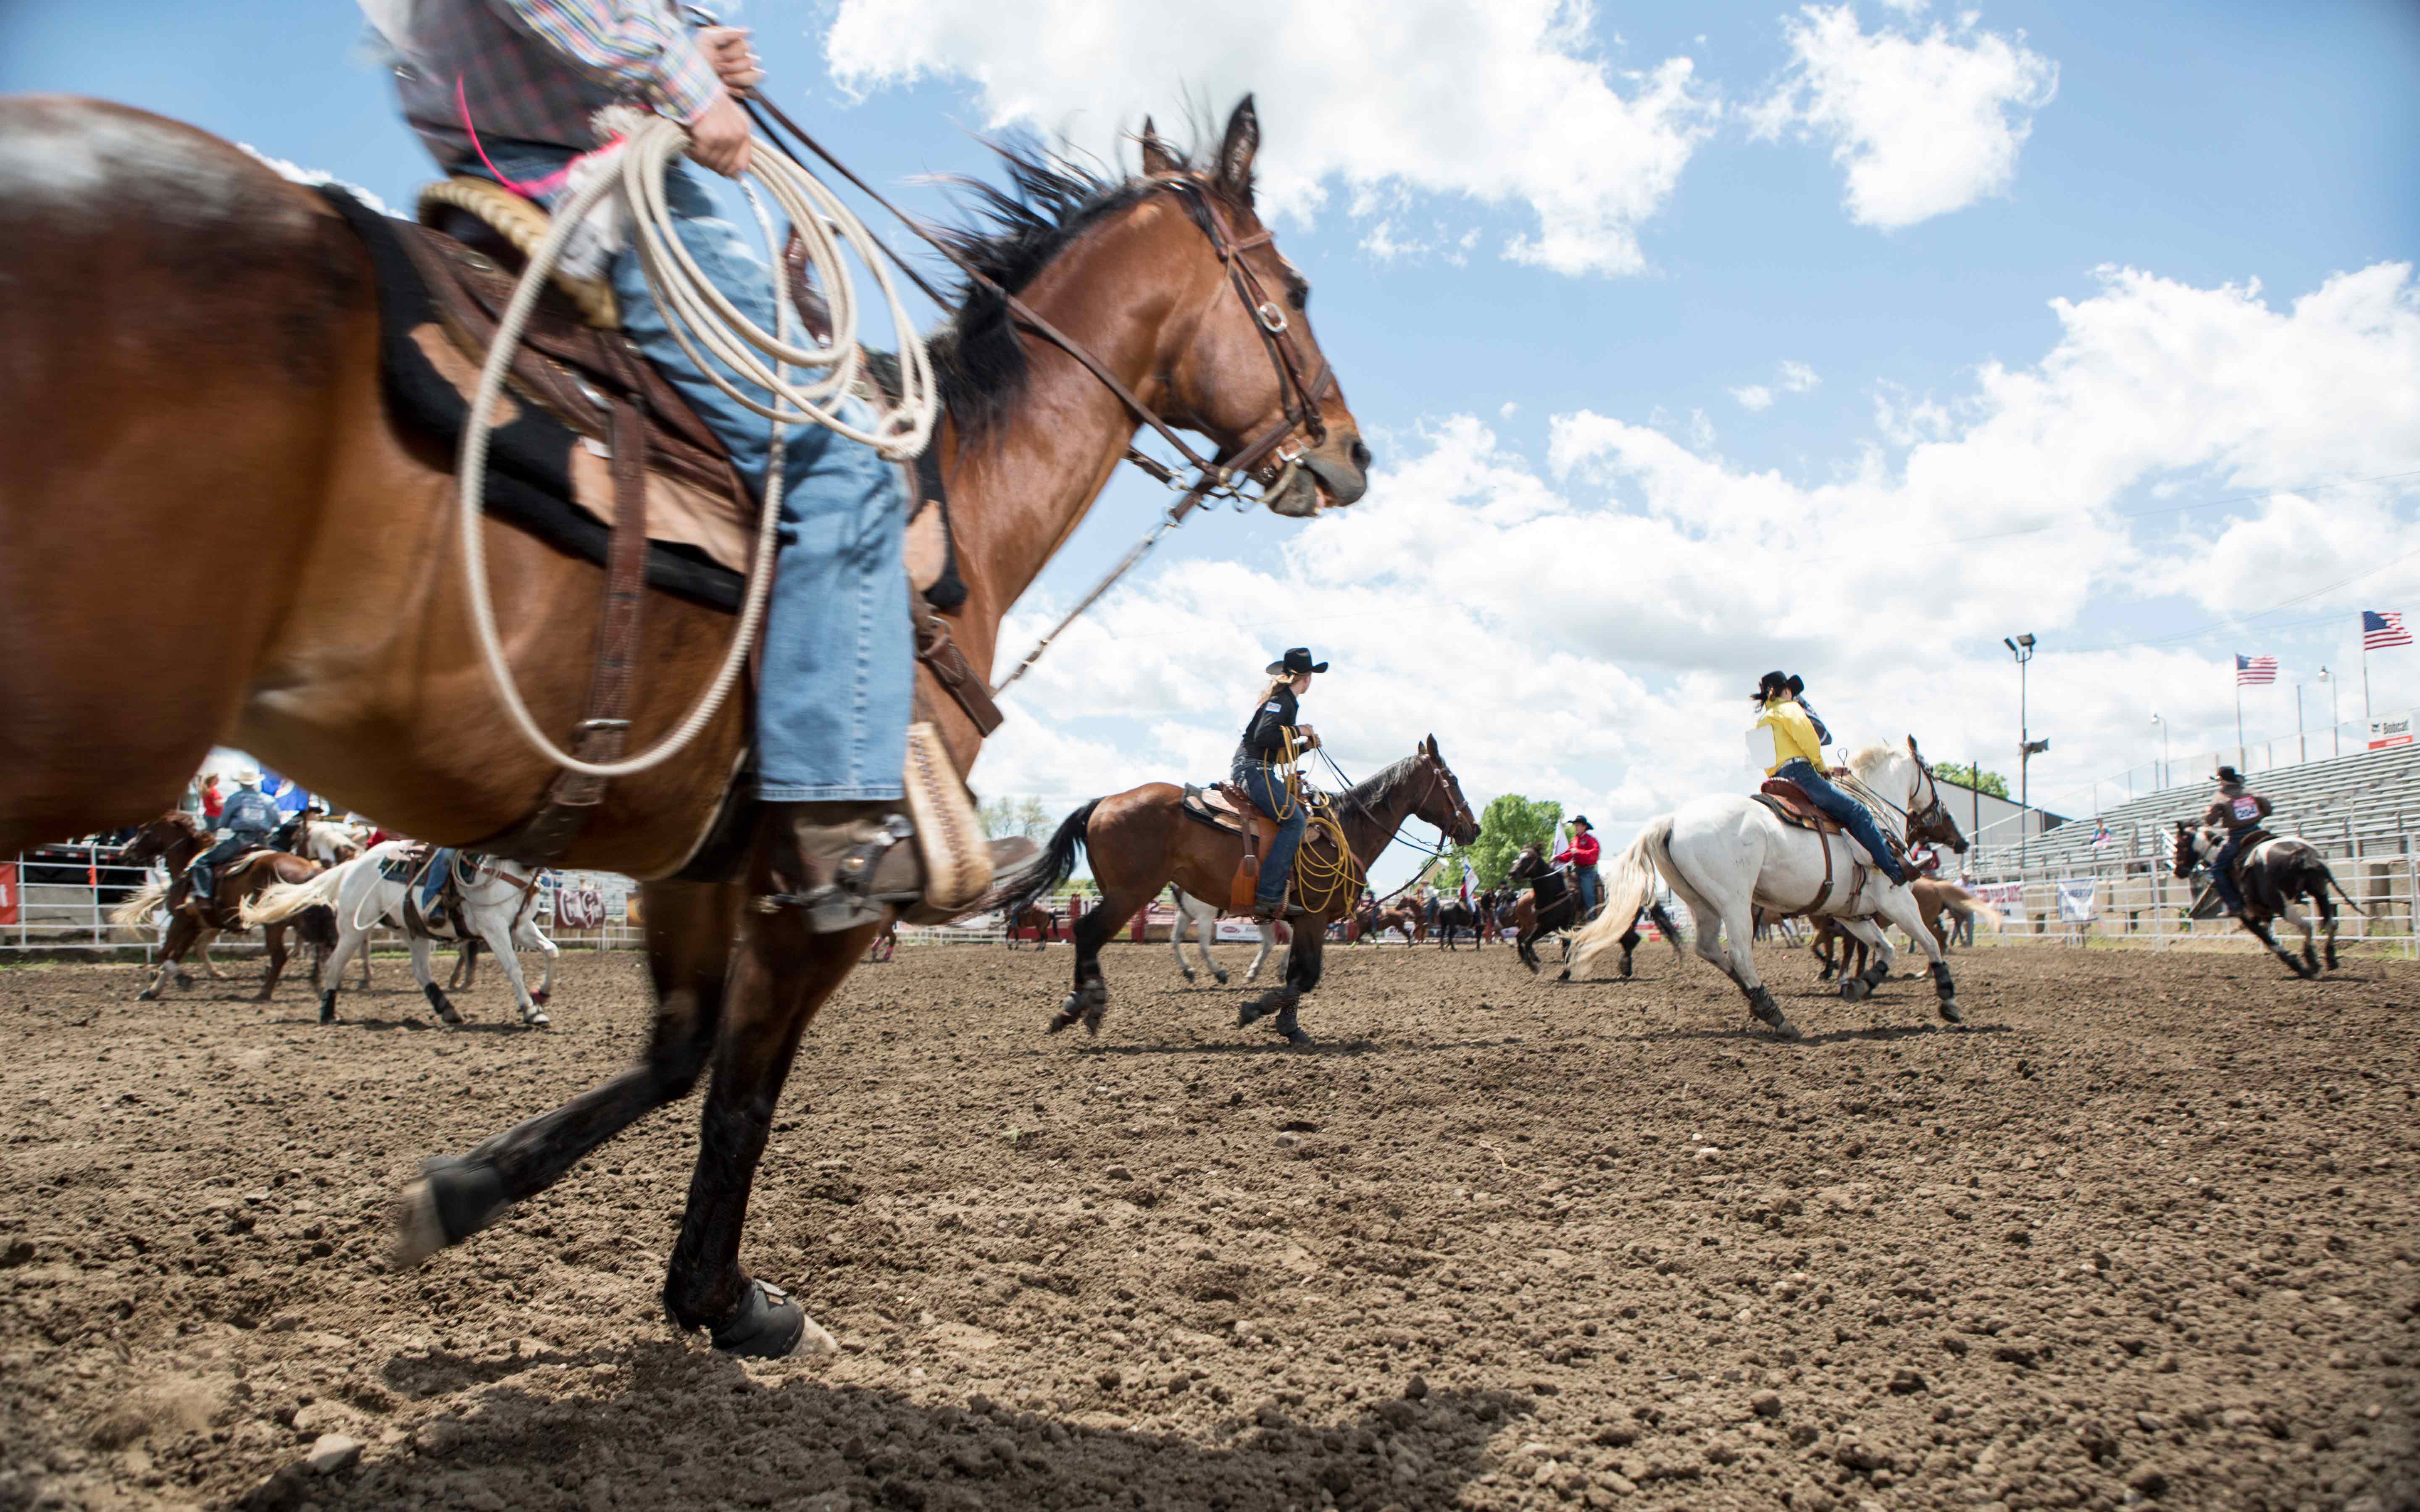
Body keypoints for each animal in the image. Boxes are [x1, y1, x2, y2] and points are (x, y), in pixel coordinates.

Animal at [1161, 880, 1278, 987]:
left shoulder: (1205, 917)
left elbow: (1203, 948)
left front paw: (1219, 974)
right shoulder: (1185, 915)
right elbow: (1174, 941)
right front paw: (1188, 970)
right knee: (1269, 943)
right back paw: (1253, 974)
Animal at [1568, 740, 1965, 1035]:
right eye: (1932, 774)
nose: (1958, 836)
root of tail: (1673, 821)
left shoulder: (1851, 914)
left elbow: (1885, 950)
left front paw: (1860, 984)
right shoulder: (1896, 899)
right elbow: (1928, 943)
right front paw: (1948, 1000)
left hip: (1703, 903)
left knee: (1711, 949)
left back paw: (1756, 1000)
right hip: (1735, 902)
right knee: (1740, 954)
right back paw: (1776, 1015)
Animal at [2178, 817, 2362, 972]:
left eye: (2179, 845)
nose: (2178, 871)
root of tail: (2300, 852)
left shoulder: (2247, 916)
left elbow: (2268, 941)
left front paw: (2295, 964)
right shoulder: (2264, 913)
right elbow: (2269, 937)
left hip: (2282, 904)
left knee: (2306, 926)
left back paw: (2311, 964)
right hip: (2320, 891)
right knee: (2330, 924)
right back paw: (2330, 959)